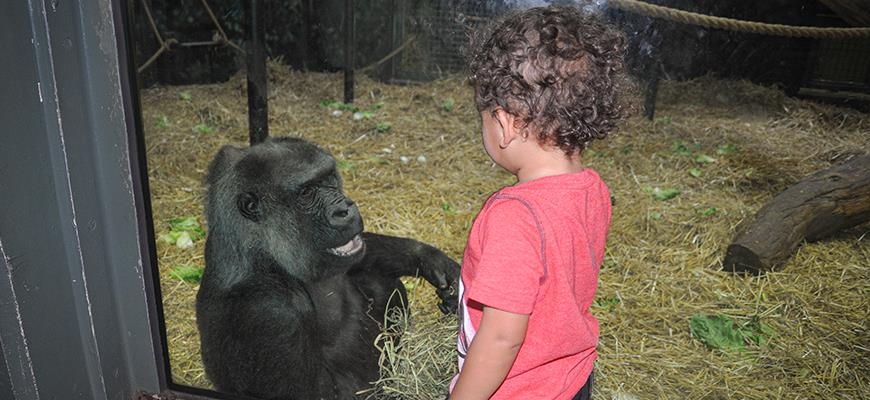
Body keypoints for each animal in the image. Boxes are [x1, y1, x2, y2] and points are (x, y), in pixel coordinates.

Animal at [195, 136, 460, 398]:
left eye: (329, 178)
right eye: (307, 192)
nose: (345, 209)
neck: (264, 252)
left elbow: (359, 257)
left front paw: (430, 260)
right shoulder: (270, 314)